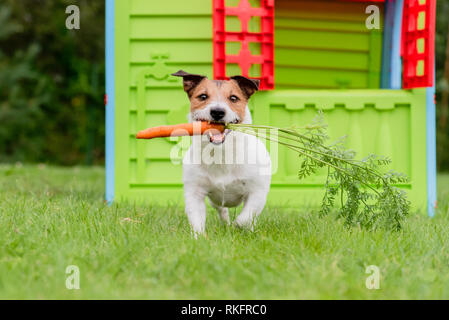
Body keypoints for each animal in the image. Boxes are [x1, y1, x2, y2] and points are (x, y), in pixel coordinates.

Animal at [171, 70, 270, 238]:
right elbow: (196, 219)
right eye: (203, 96)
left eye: (233, 98)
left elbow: (245, 217)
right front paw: (199, 238)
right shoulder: (194, 192)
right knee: (222, 210)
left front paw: (238, 227)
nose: (217, 112)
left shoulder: (257, 191)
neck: (221, 154)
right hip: (215, 200)